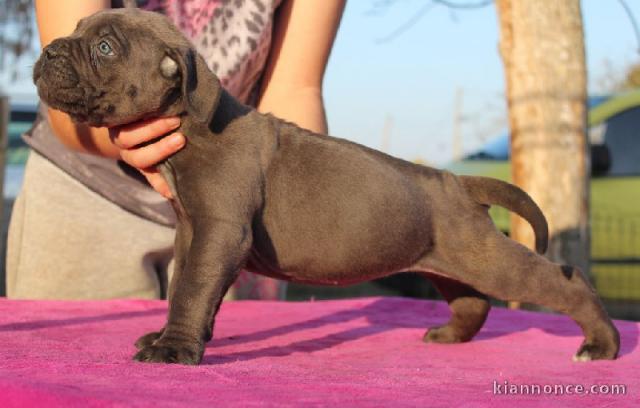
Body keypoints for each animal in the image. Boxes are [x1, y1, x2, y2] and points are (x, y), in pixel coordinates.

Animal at [35, 7, 620, 364]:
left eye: (105, 48)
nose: (49, 52)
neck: (193, 124)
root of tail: (455, 181)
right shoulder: (192, 234)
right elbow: (185, 289)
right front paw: (170, 337)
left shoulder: (218, 234)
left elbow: (193, 291)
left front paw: (173, 349)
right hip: (450, 259)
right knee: (472, 300)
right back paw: (451, 336)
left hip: (489, 259)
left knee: (563, 283)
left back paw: (601, 344)